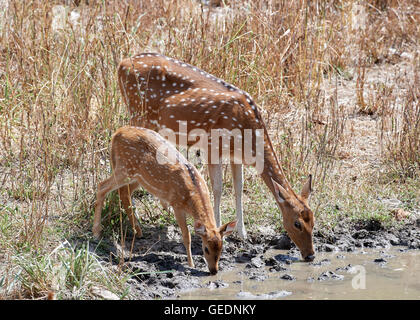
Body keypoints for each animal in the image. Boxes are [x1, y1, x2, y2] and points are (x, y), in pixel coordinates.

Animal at [92, 126, 236, 274]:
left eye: (221, 249)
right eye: (206, 248)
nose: (214, 271)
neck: (192, 192)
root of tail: (117, 133)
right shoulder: (176, 204)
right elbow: (187, 236)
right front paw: (191, 264)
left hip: (136, 176)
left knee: (124, 192)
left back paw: (138, 231)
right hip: (124, 167)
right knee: (102, 186)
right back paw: (96, 233)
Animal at [116, 52, 314, 262]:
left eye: (313, 220)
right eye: (297, 223)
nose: (310, 255)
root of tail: (122, 64)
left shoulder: (235, 156)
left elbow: (238, 188)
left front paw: (243, 234)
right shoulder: (213, 146)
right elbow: (217, 189)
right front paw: (219, 230)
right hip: (138, 112)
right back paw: (137, 224)